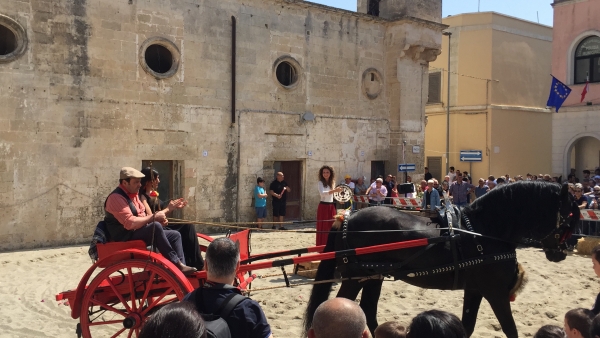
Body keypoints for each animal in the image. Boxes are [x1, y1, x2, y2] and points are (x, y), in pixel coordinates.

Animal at [304, 182, 580, 338]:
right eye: (570, 216)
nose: (562, 251)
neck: (483, 231)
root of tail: (347, 217)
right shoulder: (496, 293)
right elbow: (510, 329)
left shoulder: (475, 290)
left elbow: (467, 327)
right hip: (356, 277)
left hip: (373, 276)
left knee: (369, 311)